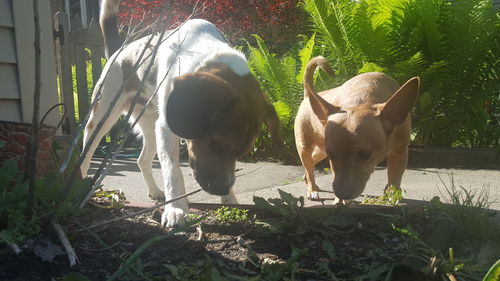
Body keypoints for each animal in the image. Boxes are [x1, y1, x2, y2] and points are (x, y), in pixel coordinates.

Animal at [80, 0, 280, 226]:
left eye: (242, 153)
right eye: (216, 144)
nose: (221, 189)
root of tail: (119, 50)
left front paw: (230, 201)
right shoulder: (166, 130)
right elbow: (172, 171)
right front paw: (175, 209)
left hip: (150, 125)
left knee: (142, 160)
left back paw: (155, 191)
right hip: (101, 118)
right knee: (86, 153)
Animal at [294, 56, 420, 199]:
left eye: (365, 154)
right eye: (332, 155)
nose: (342, 194)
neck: (362, 98)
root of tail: (307, 97)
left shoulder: (400, 152)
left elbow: (395, 179)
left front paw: (392, 194)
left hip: (321, 151)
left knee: (311, 163)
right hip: (305, 148)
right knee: (309, 167)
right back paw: (312, 189)